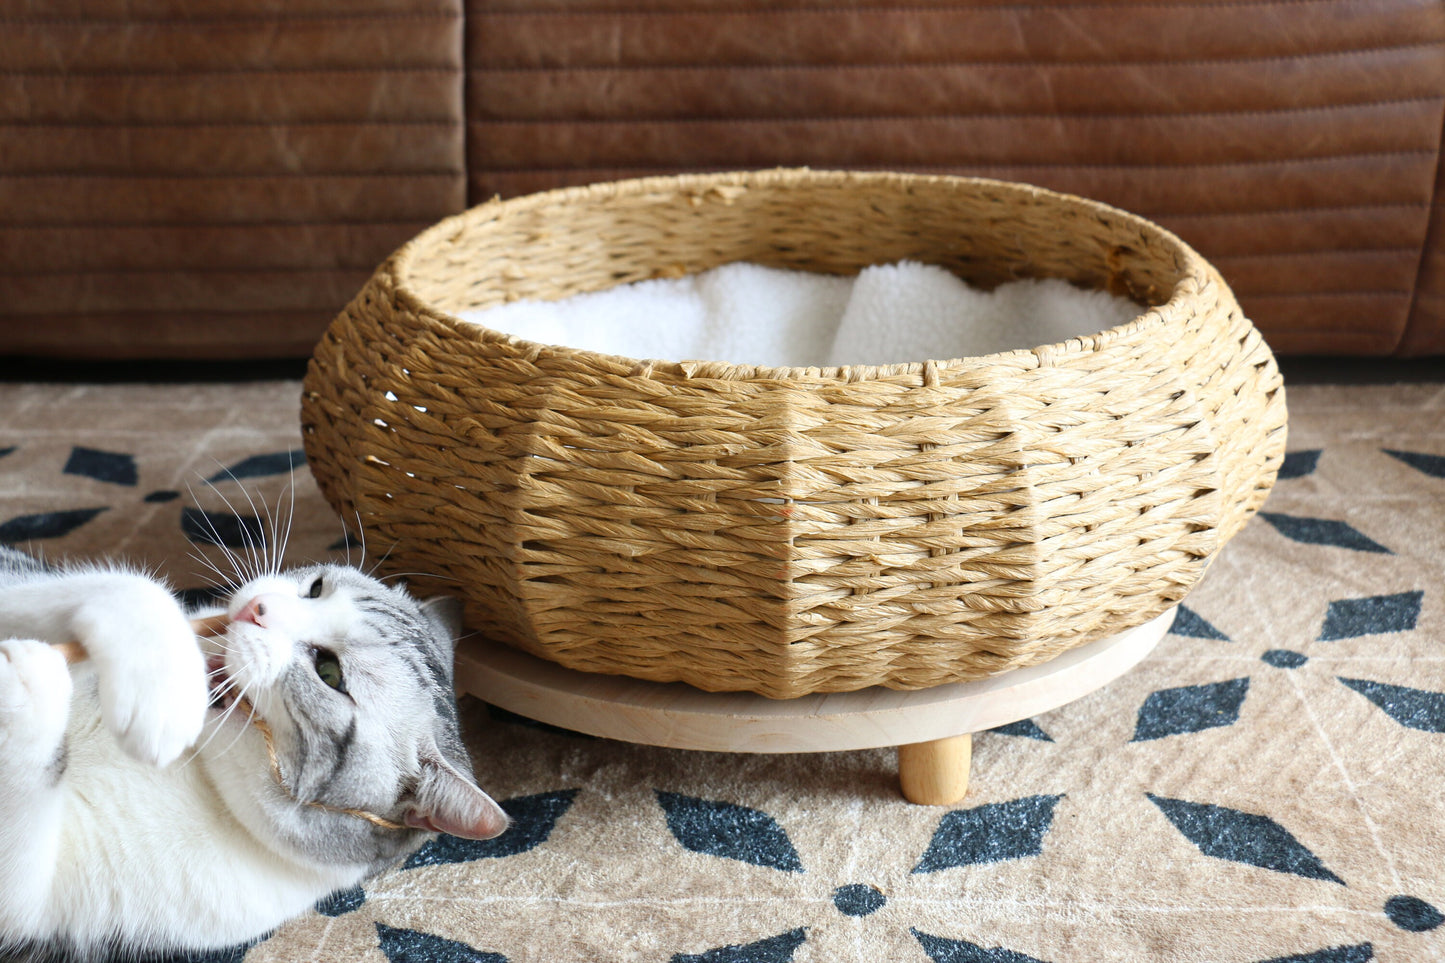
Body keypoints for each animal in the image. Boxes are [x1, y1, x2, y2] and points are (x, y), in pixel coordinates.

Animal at [0, 543, 508, 954]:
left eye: (329, 672)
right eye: (316, 588)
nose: (257, 608)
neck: (195, 765)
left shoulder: (38, 905)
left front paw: (28, 679)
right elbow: (134, 589)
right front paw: (158, 677)